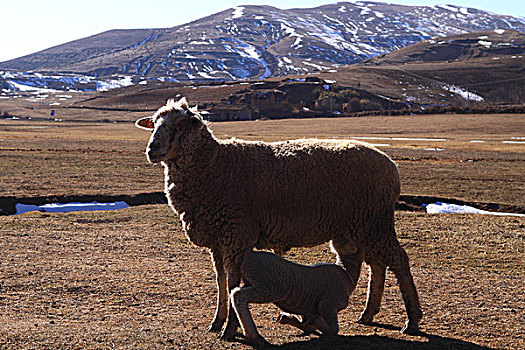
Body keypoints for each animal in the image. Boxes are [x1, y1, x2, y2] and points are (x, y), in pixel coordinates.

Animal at [231, 237, 362, 344]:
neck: (346, 273)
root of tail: (249, 255)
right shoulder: (327, 305)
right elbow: (334, 330)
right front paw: (313, 323)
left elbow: (306, 319)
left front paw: (289, 319)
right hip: (267, 288)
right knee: (238, 295)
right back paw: (251, 333)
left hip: (253, 283)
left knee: (234, 293)